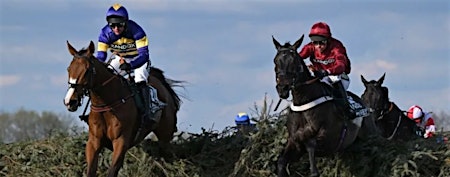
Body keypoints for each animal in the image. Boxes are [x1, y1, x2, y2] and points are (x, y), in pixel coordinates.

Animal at [63, 40, 183, 176]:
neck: (107, 104)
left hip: (165, 135)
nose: (70, 101)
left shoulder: (120, 141)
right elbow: (91, 170)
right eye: (69, 69)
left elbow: (112, 171)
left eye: (87, 70)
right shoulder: (94, 141)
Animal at [270, 35, 380, 177]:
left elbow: (311, 146)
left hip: (370, 137)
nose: (282, 88)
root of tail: (365, 105)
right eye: (276, 61)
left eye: (293, 61)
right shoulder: (295, 142)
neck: (304, 102)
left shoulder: (328, 140)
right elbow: (281, 162)